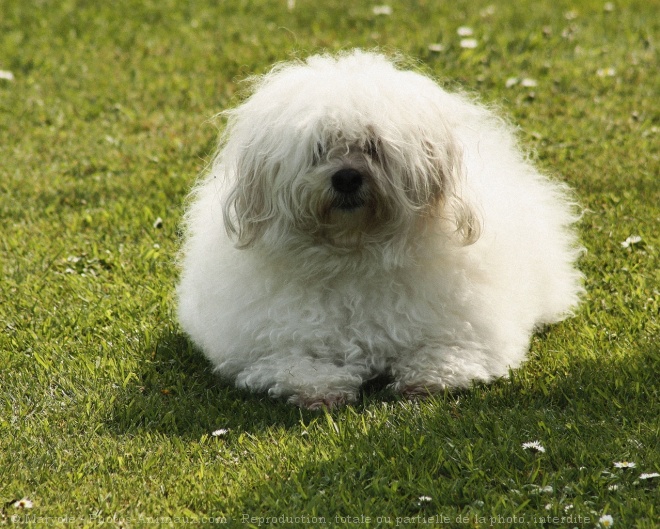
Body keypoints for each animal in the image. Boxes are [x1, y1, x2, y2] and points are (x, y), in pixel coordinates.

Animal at [177, 49, 584, 408]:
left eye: (373, 146)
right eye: (319, 148)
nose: (346, 178)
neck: (355, 254)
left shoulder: (467, 335)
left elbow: (447, 354)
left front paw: (426, 379)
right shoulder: (268, 350)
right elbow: (296, 366)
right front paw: (321, 389)